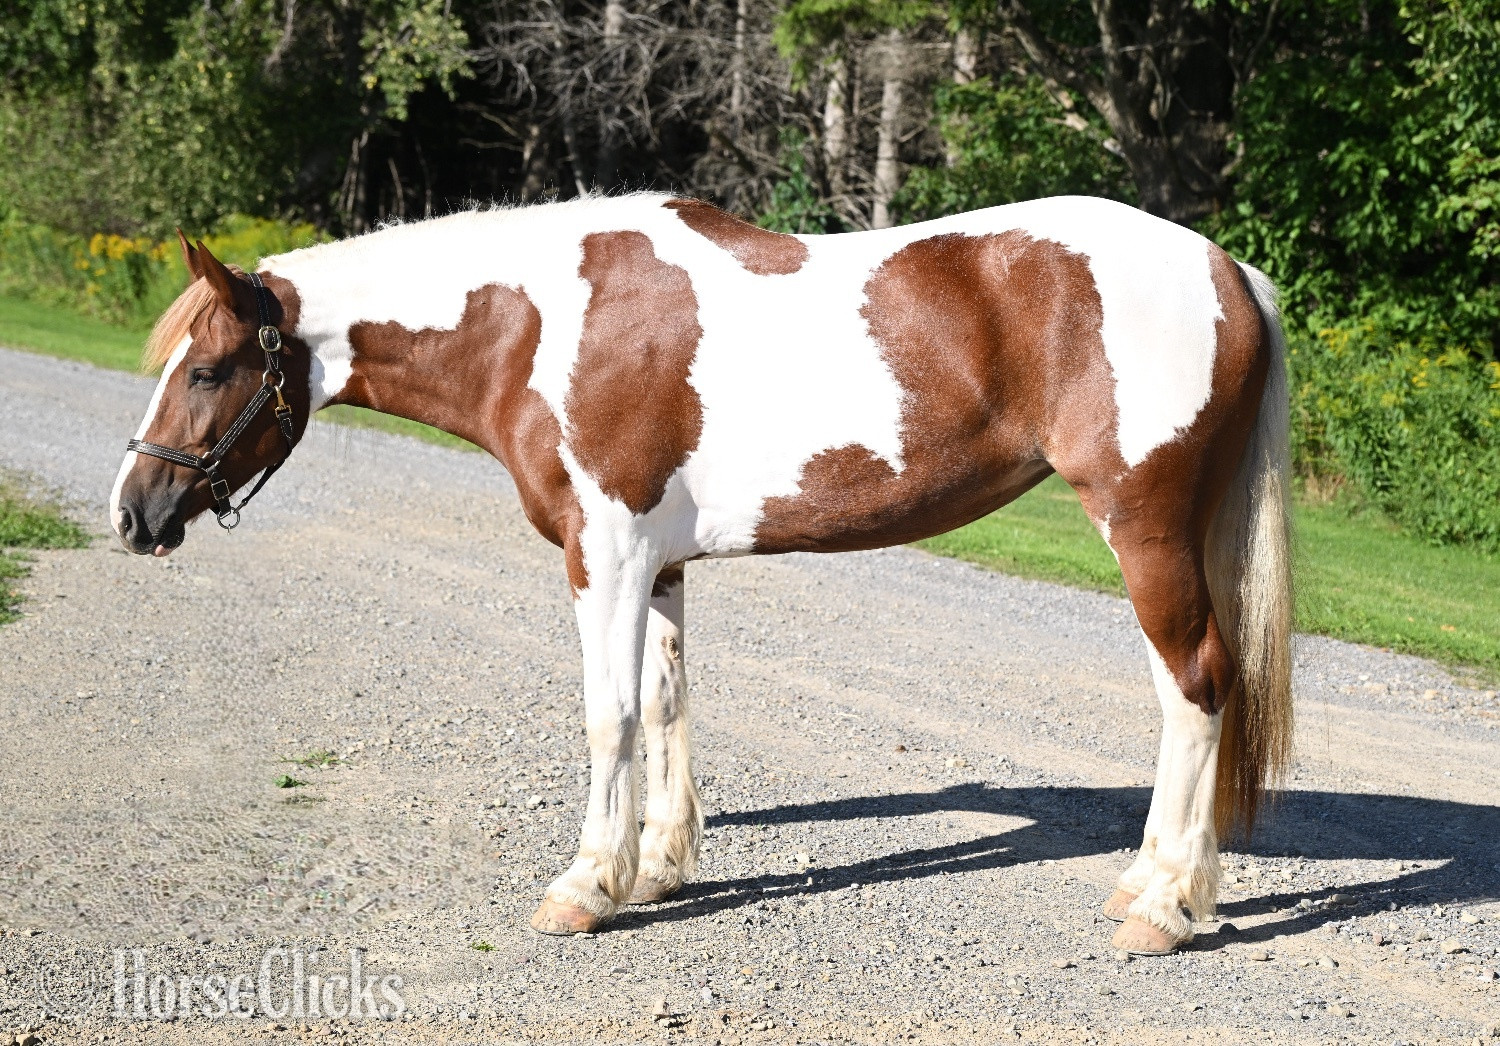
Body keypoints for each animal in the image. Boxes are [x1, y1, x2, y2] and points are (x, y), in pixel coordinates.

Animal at [109, 193, 1293, 956]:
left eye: (208, 370)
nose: (133, 513)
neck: (536, 326)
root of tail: (1229, 273)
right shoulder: (662, 562)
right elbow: (671, 704)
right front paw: (658, 865)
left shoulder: (606, 553)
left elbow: (609, 716)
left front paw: (586, 884)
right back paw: (1151, 881)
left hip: (1144, 531)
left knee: (1196, 686)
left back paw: (1165, 908)